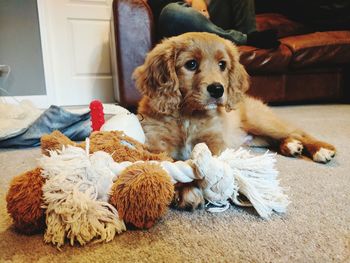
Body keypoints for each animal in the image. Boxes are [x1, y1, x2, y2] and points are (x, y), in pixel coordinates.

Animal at [133, 32, 334, 211]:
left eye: (222, 65)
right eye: (191, 64)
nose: (217, 89)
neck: (188, 115)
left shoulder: (215, 140)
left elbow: (206, 164)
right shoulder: (157, 143)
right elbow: (172, 164)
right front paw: (186, 188)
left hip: (261, 122)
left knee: (298, 131)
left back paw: (320, 149)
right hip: (255, 139)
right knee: (281, 139)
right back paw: (291, 146)